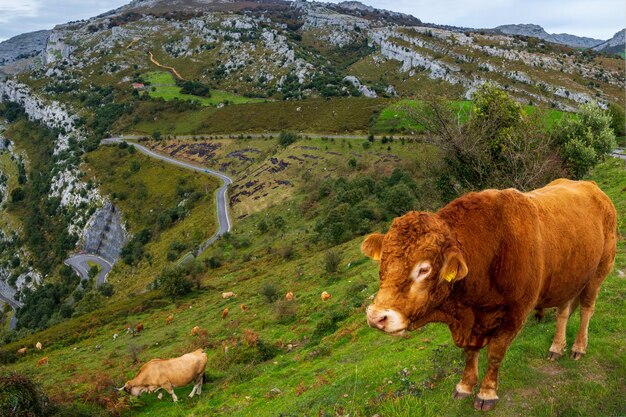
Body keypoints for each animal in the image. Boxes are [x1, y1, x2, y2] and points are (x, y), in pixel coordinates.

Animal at [360, 178, 616, 410]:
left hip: (599, 271)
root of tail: (591, 186)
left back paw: (578, 347)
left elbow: (494, 353)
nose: (376, 317)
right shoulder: (471, 321)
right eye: (383, 261)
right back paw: (557, 346)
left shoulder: (515, 313)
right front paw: (464, 385)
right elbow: (470, 352)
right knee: (564, 311)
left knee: (586, 309)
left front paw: (487, 392)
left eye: (424, 269)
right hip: (570, 277)